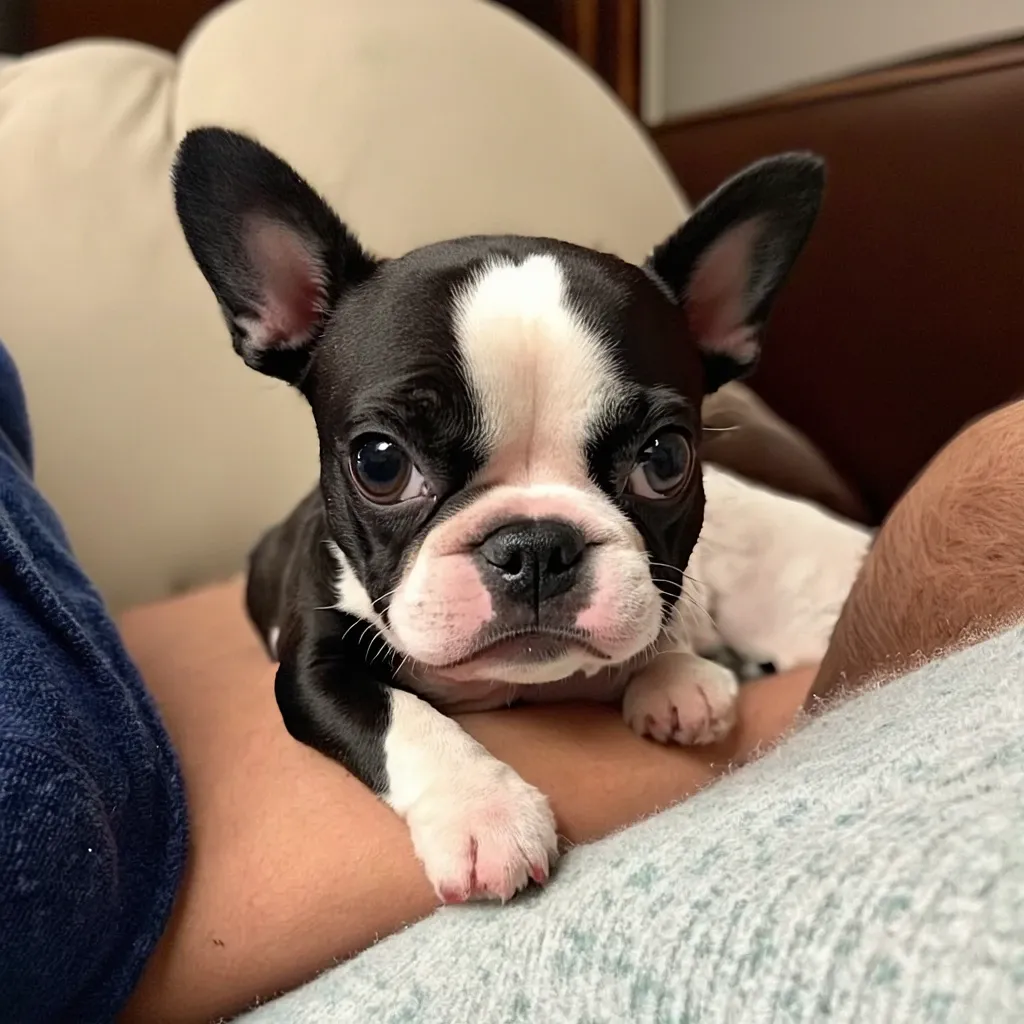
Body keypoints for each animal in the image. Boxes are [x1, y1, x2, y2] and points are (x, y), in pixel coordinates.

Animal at [167, 128, 823, 905]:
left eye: (665, 458)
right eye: (380, 463)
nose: (536, 546)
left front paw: (676, 675)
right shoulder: (312, 671)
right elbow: (402, 717)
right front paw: (486, 813)